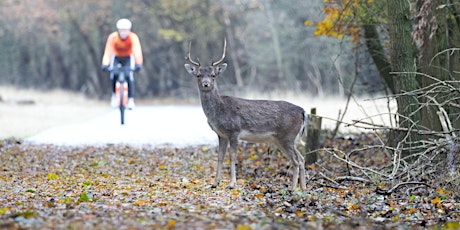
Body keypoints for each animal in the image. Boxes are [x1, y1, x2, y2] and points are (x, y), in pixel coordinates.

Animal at [184, 39, 310, 190]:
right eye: (198, 75)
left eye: (213, 75)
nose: (206, 84)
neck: (218, 112)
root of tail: (303, 112)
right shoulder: (221, 134)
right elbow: (220, 156)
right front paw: (215, 183)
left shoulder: (234, 130)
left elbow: (232, 156)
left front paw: (231, 184)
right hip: (284, 139)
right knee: (301, 158)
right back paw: (303, 188)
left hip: (287, 136)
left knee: (296, 161)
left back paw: (293, 189)